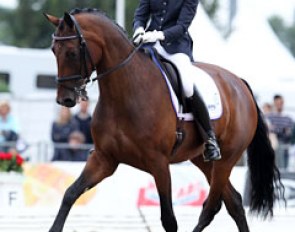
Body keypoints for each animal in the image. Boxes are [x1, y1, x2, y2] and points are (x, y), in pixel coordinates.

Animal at [45, 8, 284, 232]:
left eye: (72, 52)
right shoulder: (104, 159)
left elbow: (169, 219)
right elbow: (70, 194)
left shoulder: (158, 163)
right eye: (54, 51)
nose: (65, 99)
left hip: (227, 159)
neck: (124, 93)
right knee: (233, 202)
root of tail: (240, 83)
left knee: (212, 207)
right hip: (204, 160)